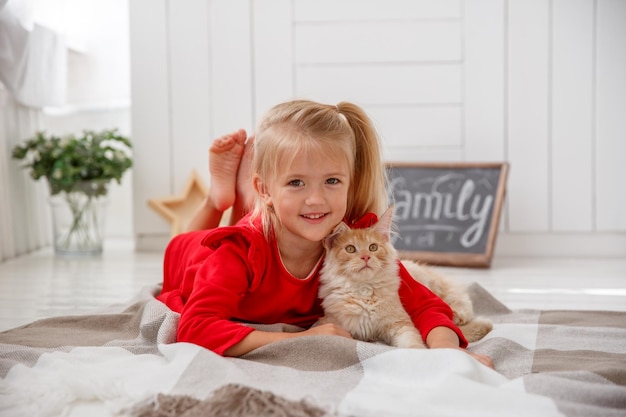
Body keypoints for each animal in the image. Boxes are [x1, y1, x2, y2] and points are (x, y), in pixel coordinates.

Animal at [320, 206, 490, 346]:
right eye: (350, 249)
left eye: (373, 247)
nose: (365, 257)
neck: (364, 290)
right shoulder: (337, 323)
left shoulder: (400, 323)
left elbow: (412, 343)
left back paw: (457, 315)